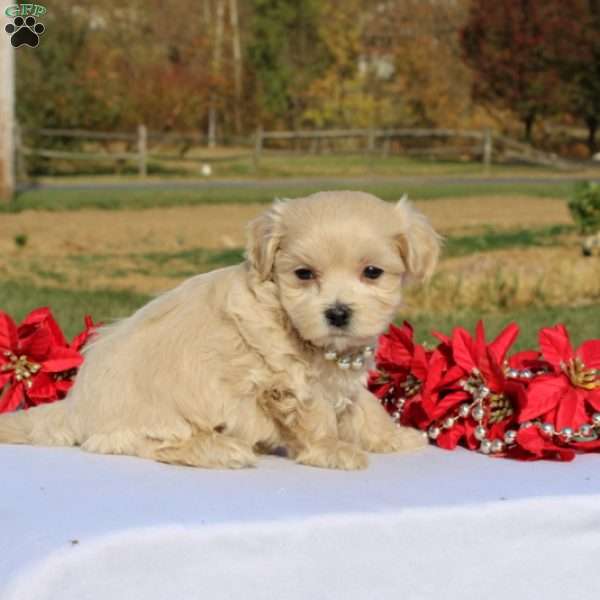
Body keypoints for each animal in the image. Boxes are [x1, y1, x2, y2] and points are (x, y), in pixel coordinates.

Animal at [0, 191, 440, 468]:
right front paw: (332, 449)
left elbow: (365, 407)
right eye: (303, 274)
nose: (337, 313)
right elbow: (315, 417)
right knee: (149, 444)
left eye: (372, 272)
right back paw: (219, 450)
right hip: (156, 413)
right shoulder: (287, 380)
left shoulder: (339, 380)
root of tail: (74, 406)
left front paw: (393, 436)